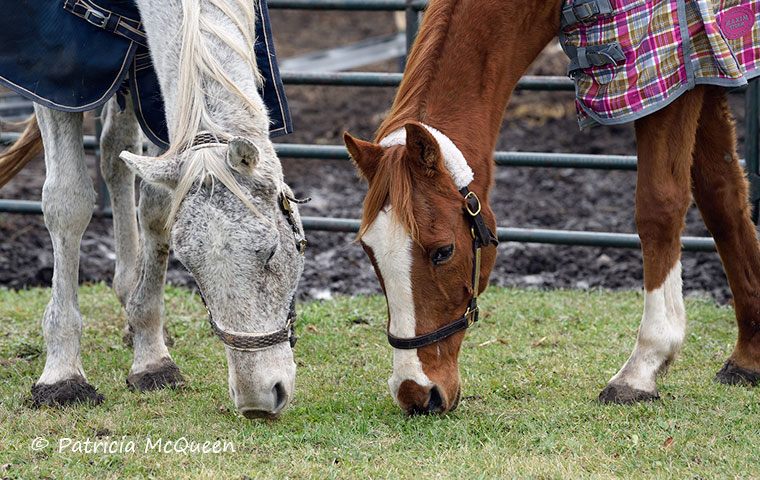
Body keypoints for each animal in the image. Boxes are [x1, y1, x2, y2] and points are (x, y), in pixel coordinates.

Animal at [3, 0, 306, 418]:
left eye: (273, 251)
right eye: (189, 266)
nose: (258, 398)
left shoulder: (152, 83)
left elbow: (157, 208)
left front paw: (150, 354)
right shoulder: (58, 83)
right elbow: (68, 202)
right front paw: (62, 374)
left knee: (116, 150)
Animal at [344, 0, 760, 412]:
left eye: (443, 251)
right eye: (369, 252)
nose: (415, 393)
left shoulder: (668, 71)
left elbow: (660, 206)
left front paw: (643, 367)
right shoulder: (705, 65)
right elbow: (722, 197)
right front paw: (750, 355)